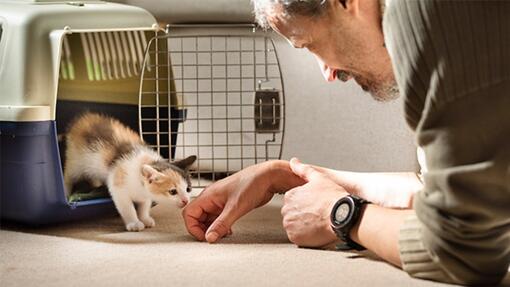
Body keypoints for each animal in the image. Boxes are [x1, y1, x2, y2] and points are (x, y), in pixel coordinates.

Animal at [64, 112, 196, 232]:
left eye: (188, 189)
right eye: (172, 191)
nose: (186, 200)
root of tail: (83, 118)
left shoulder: (144, 194)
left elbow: (144, 205)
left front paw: (145, 218)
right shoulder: (118, 185)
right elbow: (127, 207)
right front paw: (134, 223)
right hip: (75, 160)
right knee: (69, 176)